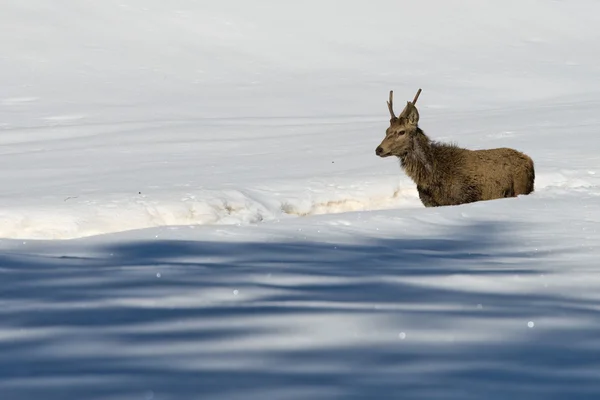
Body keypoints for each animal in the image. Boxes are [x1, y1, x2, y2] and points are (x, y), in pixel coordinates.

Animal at [376, 89, 536, 208]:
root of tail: (530, 161)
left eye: (401, 131)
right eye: (386, 130)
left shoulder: (462, 198)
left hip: (521, 187)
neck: (432, 176)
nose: (379, 149)